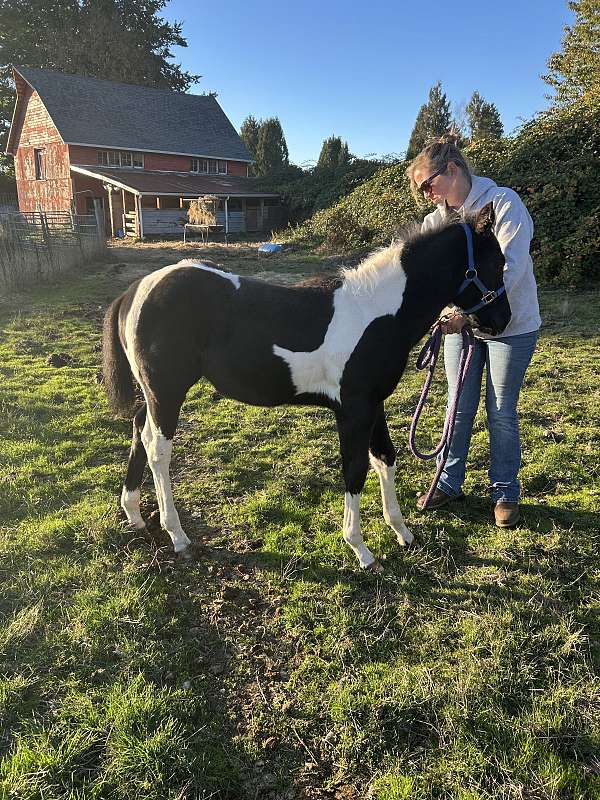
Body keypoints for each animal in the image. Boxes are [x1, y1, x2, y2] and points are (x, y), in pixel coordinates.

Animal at [102, 203, 511, 571]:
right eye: (496, 263)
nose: (501, 321)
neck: (377, 313)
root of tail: (134, 291)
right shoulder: (353, 410)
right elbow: (355, 469)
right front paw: (361, 550)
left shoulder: (374, 404)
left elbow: (385, 458)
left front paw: (402, 532)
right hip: (167, 392)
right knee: (158, 451)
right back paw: (177, 535)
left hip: (153, 394)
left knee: (139, 430)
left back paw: (134, 514)